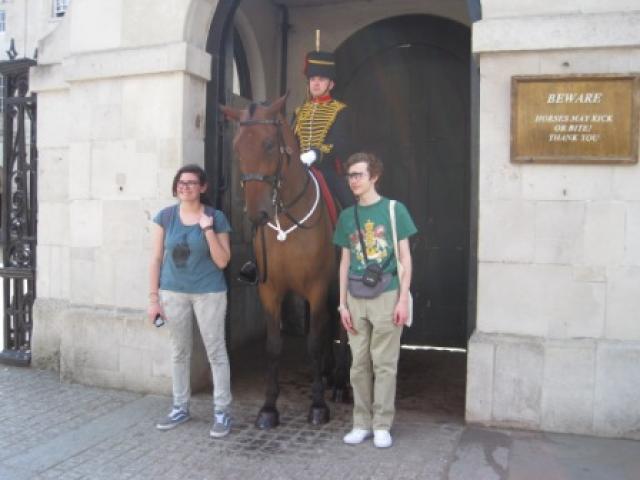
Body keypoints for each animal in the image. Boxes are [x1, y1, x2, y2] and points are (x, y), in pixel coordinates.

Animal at [221, 94, 348, 429]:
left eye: (268, 143)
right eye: (237, 146)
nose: (257, 214)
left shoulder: (317, 287)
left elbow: (313, 342)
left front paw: (317, 405)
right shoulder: (270, 290)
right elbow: (274, 346)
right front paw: (268, 408)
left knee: (342, 329)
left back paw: (341, 384)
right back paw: (328, 375)